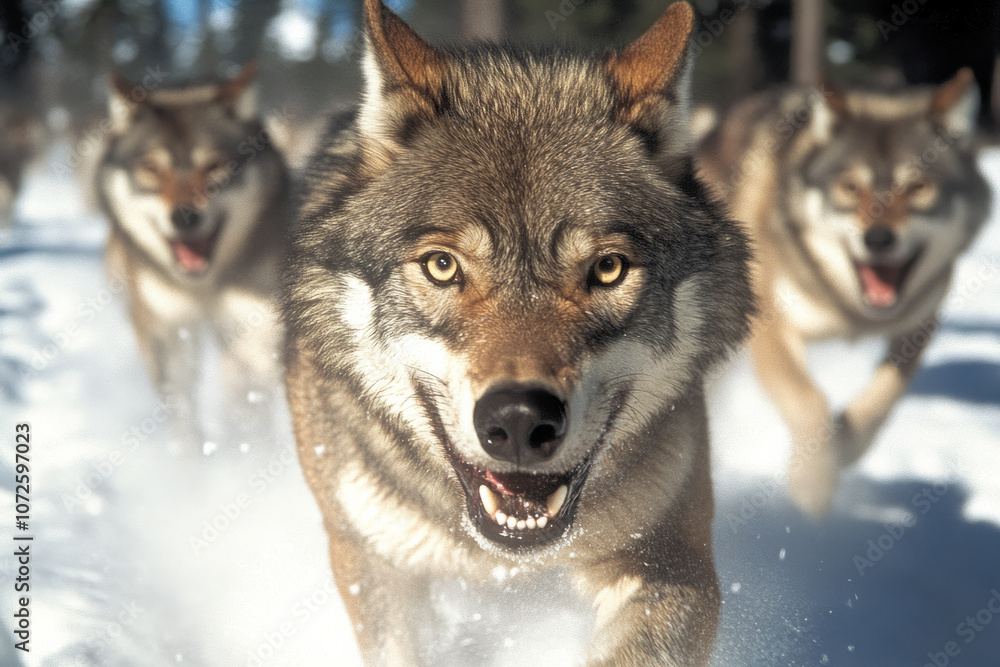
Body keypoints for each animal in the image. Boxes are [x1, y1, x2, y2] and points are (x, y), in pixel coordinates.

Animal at [97, 63, 290, 450]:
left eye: (214, 167)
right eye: (152, 169)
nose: (185, 217)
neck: (205, 287)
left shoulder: (254, 323)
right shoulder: (167, 329)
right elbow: (182, 410)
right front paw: (194, 463)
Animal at [698, 71, 991, 516]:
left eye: (918, 186)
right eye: (851, 187)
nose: (879, 239)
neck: (851, 314)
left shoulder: (919, 325)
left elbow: (882, 400)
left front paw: (845, 443)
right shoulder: (770, 327)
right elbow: (807, 400)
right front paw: (813, 483)